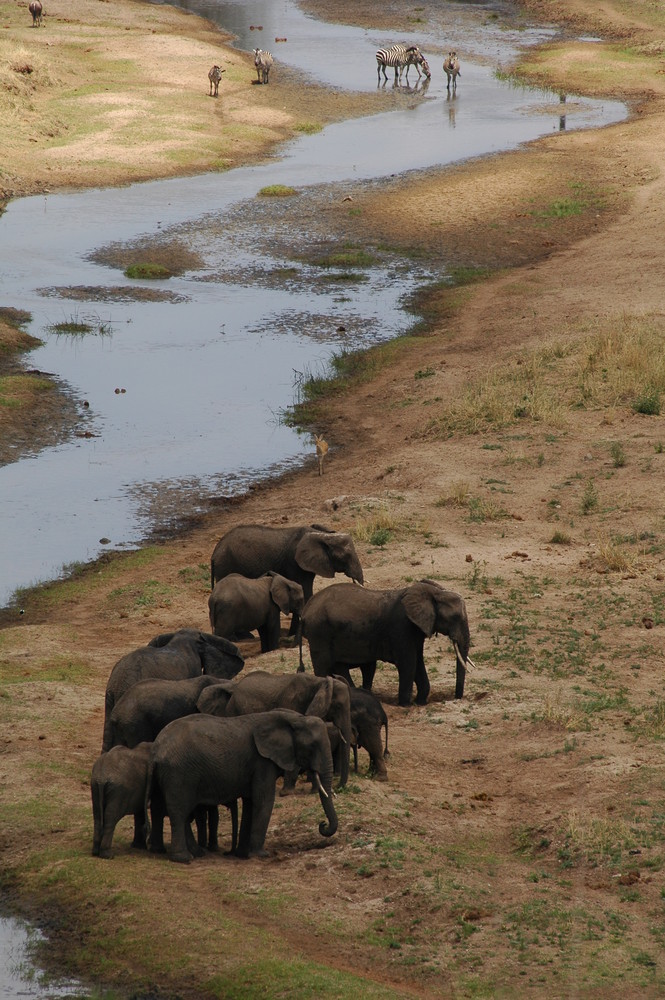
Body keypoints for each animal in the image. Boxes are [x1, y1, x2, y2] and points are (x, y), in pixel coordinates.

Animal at [145, 708, 338, 864]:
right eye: (312, 746)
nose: (322, 824)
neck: (294, 718)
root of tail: (156, 748)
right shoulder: (262, 762)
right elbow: (264, 800)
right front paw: (261, 855)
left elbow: (250, 803)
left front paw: (242, 855)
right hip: (180, 773)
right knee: (179, 811)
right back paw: (183, 859)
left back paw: (195, 853)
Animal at [197, 672, 352, 788]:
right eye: (338, 706)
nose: (338, 786)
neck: (319, 681)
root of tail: (235, 687)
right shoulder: (292, 703)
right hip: (234, 710)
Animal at [210, 524, 364, 632]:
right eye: (345, 556)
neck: (322, 535)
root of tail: (214, 553)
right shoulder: (294, 562)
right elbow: (305, 591)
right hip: (226, 565)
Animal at [300, 584, 472, 708]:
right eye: (455, 617)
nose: (456, 698)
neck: (435, 593)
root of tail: (306, 609)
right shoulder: (401, 626)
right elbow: (408, 662)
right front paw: (405, 705)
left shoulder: (416, 629)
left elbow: (418, 661)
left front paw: (420, 702)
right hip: (319, 632)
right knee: (323, 665)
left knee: (339, 666)